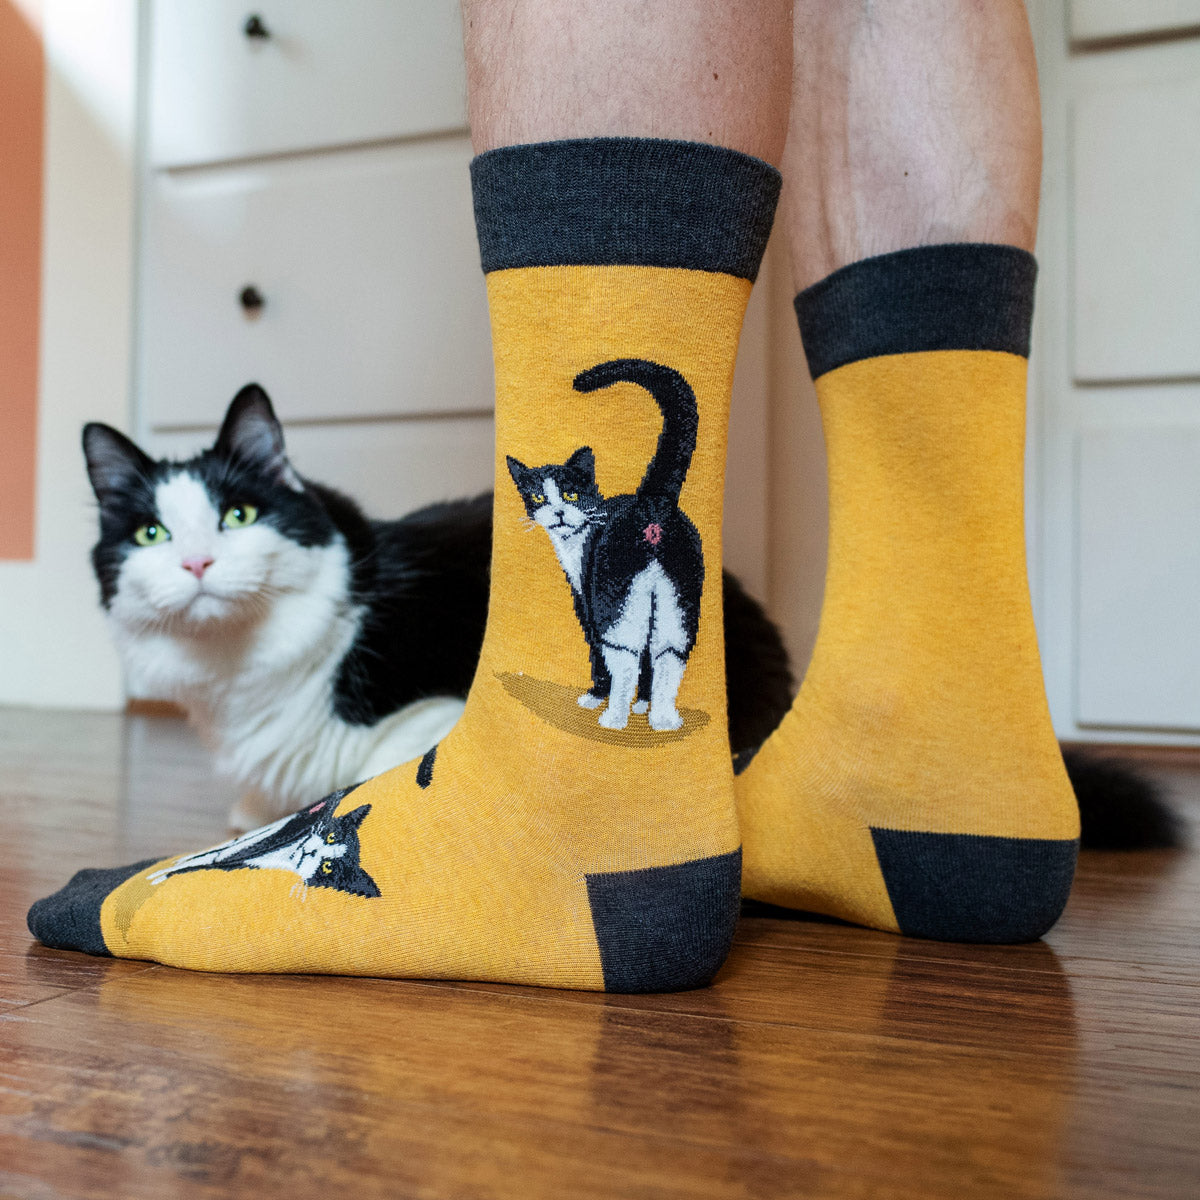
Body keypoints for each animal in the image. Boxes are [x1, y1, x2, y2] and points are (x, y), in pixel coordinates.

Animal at [506, 355, 700, 729]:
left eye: (570, 494)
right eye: (538, 497)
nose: (558, 513)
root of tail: (652, 501)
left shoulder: (586, 598)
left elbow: (598, 648)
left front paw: (596, 695)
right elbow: (650, 654)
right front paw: (644, 703)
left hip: (615, 595)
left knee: (624, 650)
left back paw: (614, 716)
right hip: (678, 598)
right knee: (669, 651)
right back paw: (663, 718)